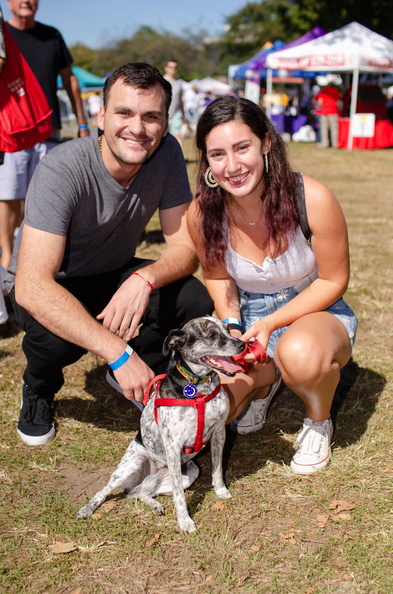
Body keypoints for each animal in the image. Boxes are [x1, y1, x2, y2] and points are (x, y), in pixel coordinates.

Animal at [77, 314, 245, 532]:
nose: (243, 344)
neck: (199, 389)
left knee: (138, 492)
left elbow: (217, 469)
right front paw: (185, 521)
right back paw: (87, 509)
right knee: (105, 491)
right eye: (211, 335)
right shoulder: (173, 446)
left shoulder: (218, 433)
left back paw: (155, 505)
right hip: (130, 466)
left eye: (227, 329)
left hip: (188, 474)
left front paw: (221, 491)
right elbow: (179, 497)